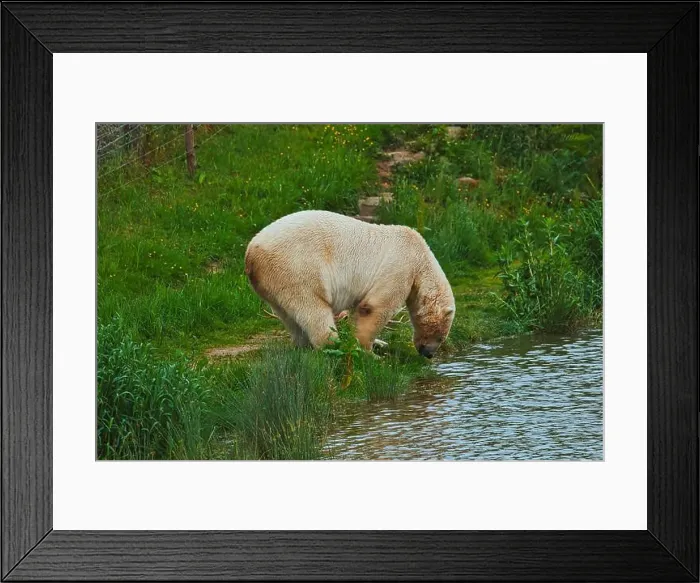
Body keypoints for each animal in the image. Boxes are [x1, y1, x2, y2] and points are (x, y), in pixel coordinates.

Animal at [244, 210, 455, 358]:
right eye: (441, 336)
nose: (428, 354)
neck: (421, 259)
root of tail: (251, 254)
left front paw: (379, 344)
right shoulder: (400, 267)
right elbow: (376, 307)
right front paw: (369, 353)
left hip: (272, 282)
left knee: (289, 316)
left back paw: (303, 345)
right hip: (297, 267)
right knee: (313, 308)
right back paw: (333, 345)